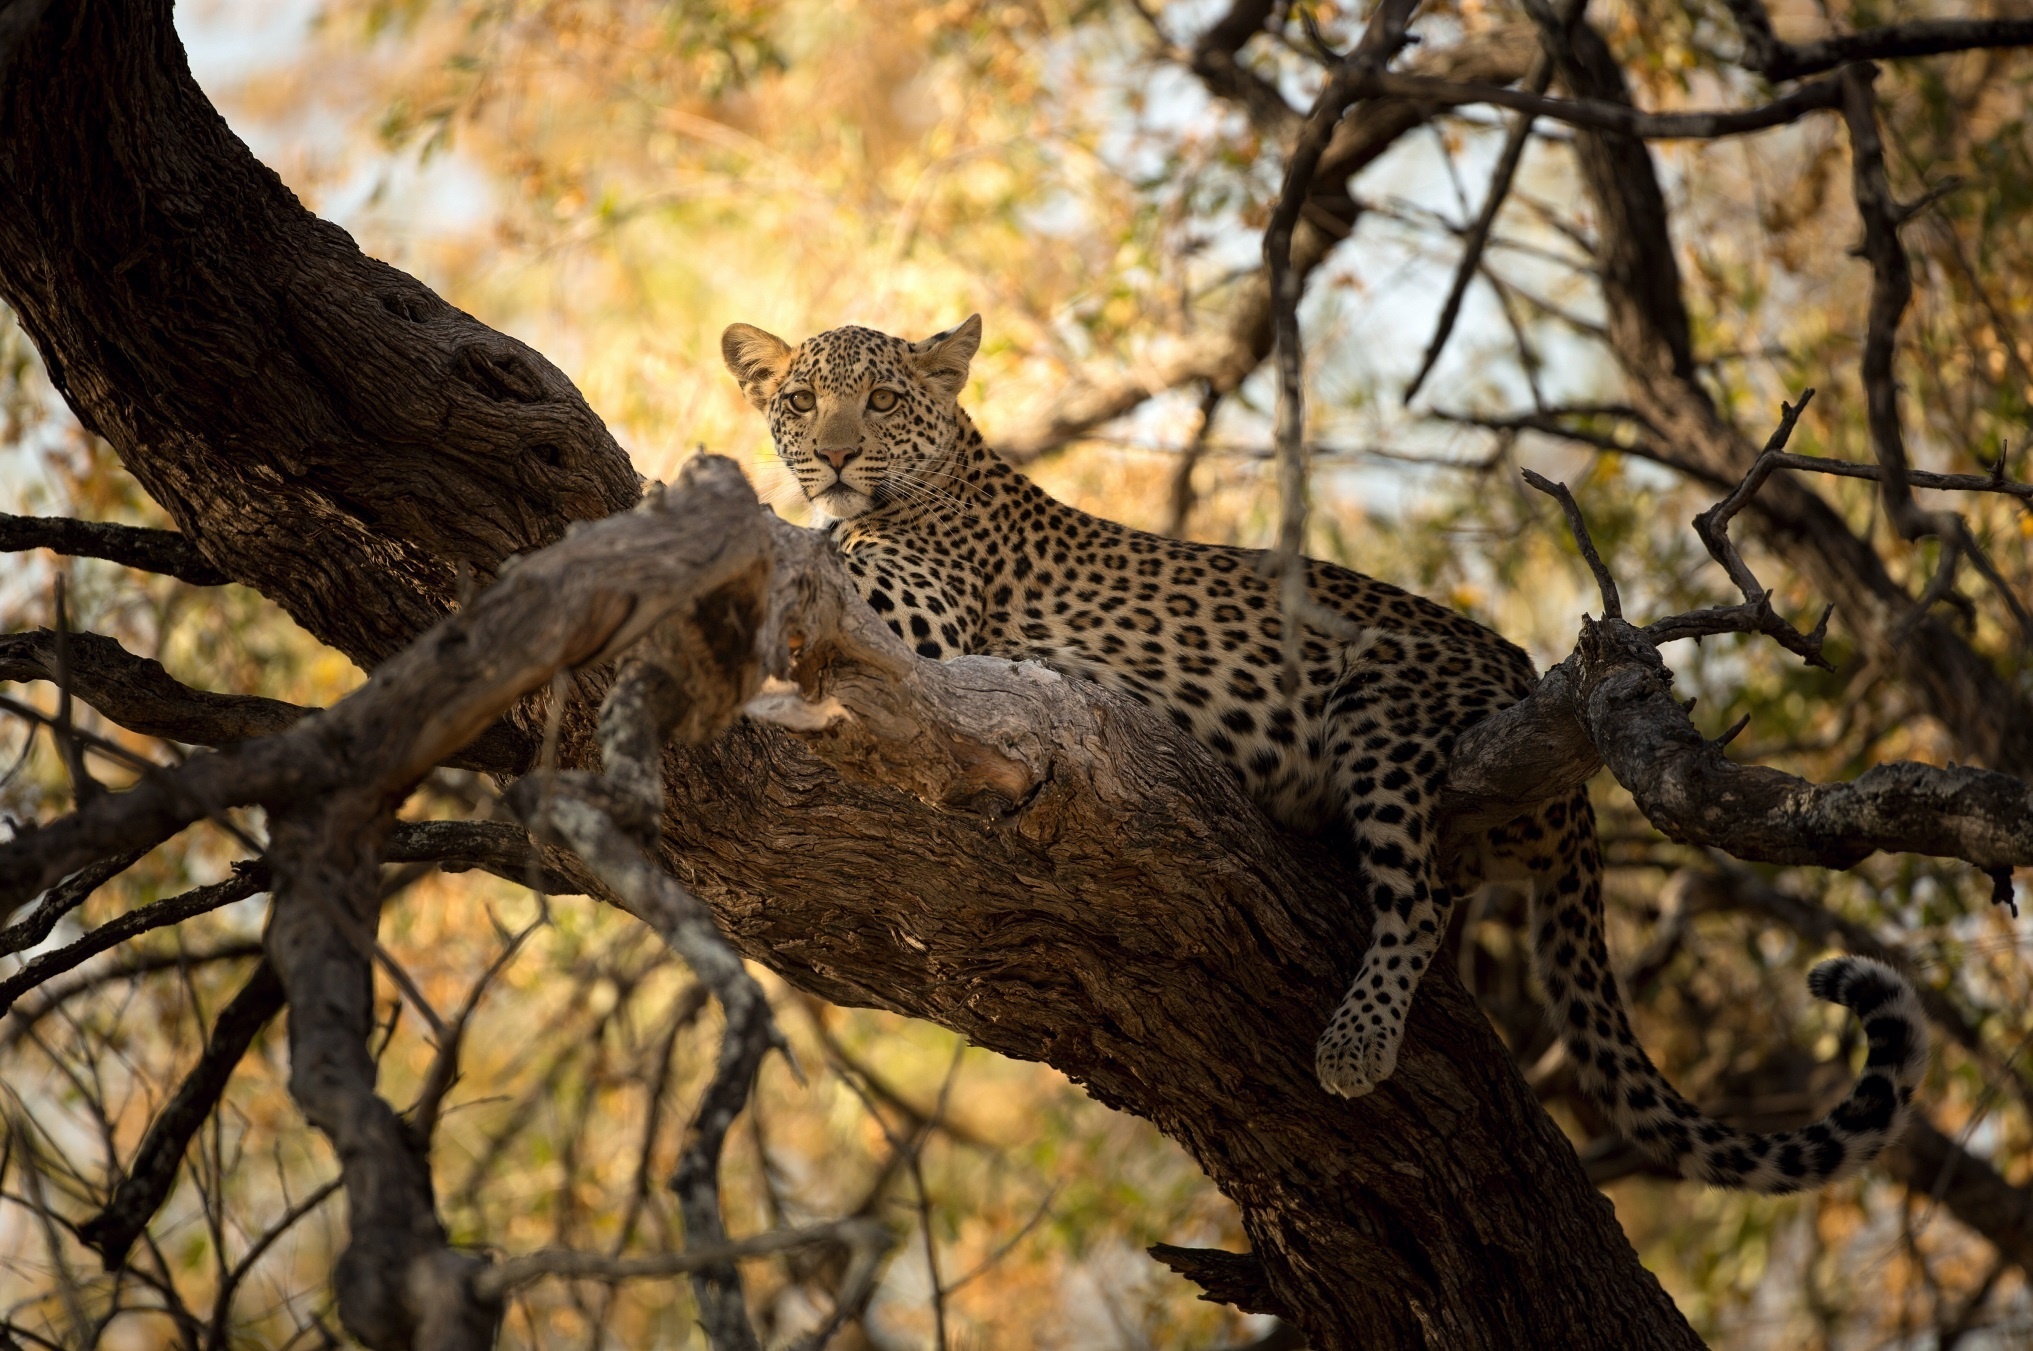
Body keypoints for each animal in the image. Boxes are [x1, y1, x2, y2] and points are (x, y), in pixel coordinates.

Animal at [723, 312, 1927, 1194]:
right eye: (800, 401)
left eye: (883, 400)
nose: (833, 454)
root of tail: (1528, 678)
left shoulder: (920, 607)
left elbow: (807, 562)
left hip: (1380, 710)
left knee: (1420, 899)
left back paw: (1356, 1041)